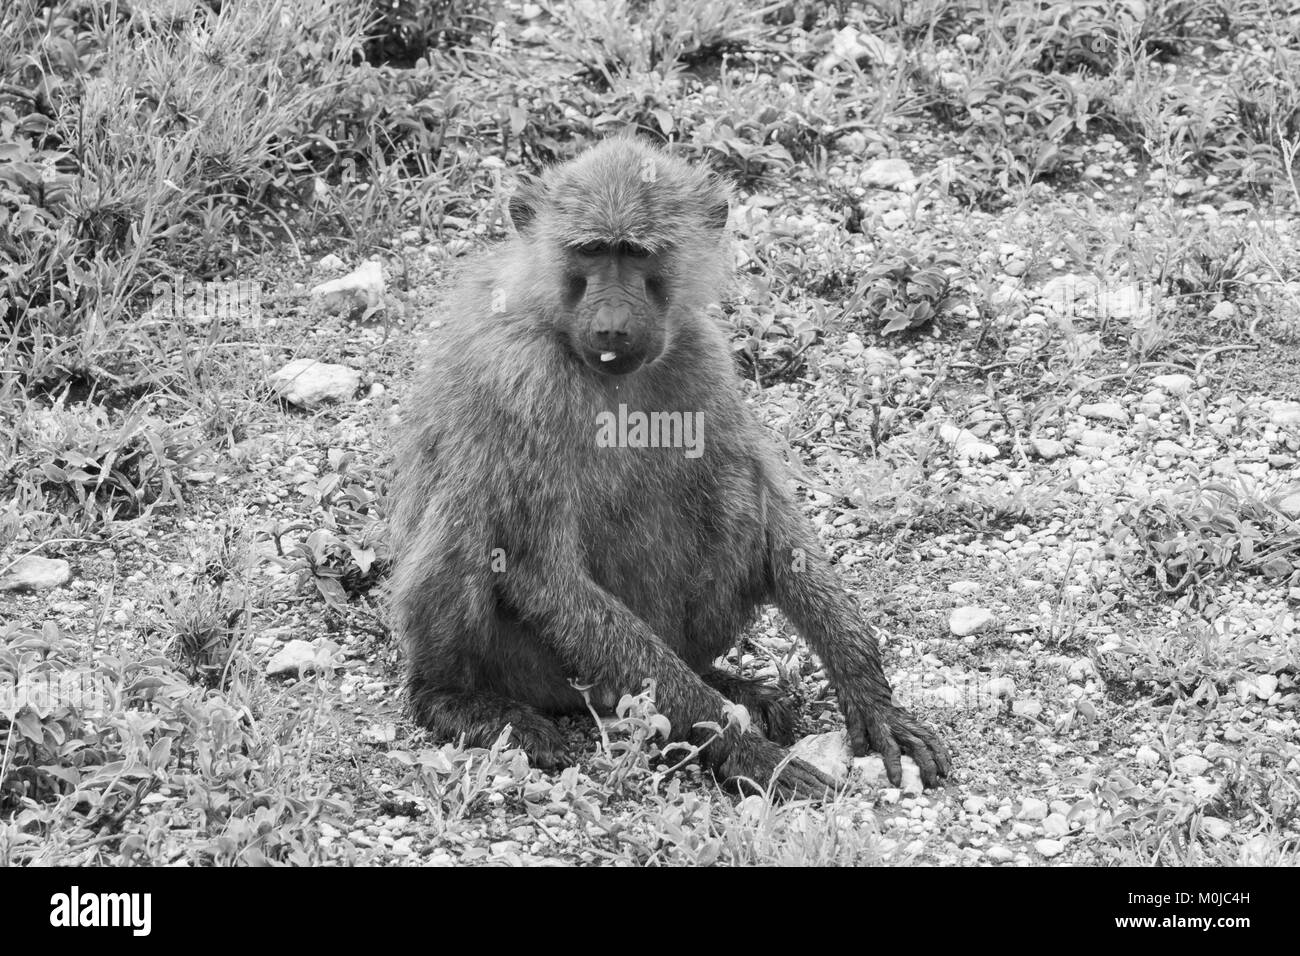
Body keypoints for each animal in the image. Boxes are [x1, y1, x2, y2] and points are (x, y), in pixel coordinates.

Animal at [388, 136, 950, 799]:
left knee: (735, 489)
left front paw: (868, 690)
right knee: (468, 532)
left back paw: (728, 683)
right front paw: (744, 750)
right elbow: (538, 567)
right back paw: (459, 700)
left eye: (636, 253)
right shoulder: (522, 376)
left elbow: (775, 514)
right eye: (591, 250)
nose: (610, 323)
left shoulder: (702, 353)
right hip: (538, 669)